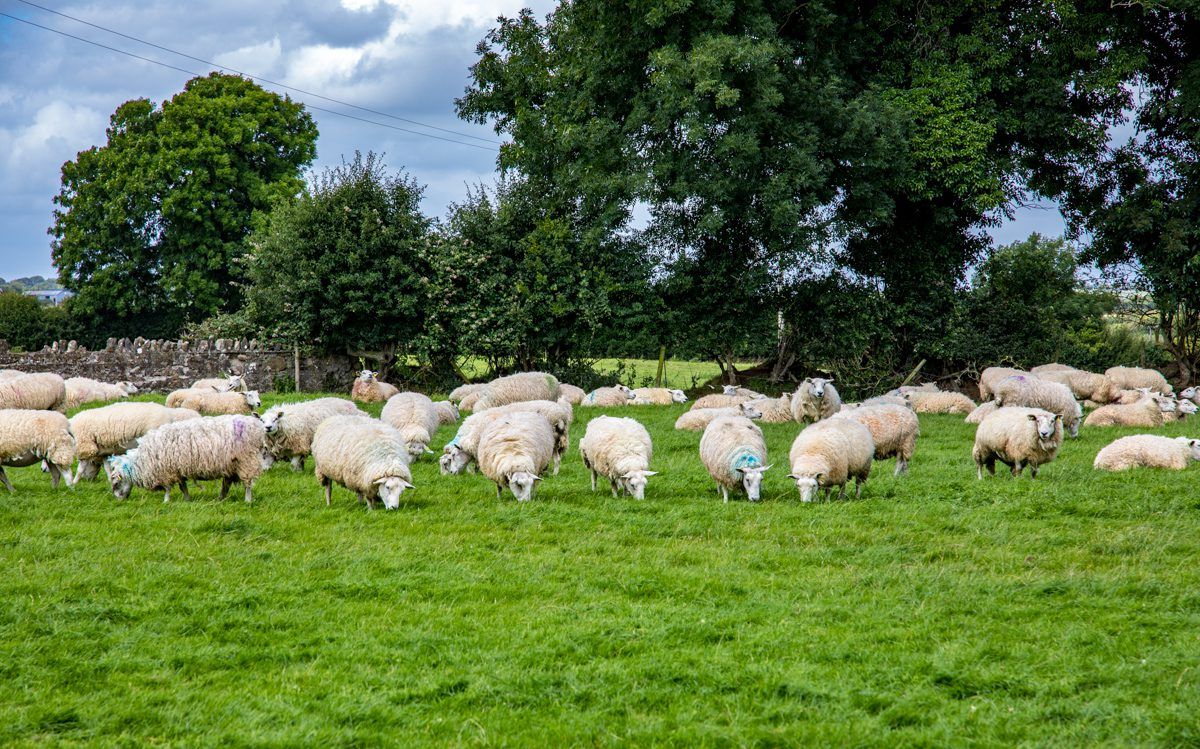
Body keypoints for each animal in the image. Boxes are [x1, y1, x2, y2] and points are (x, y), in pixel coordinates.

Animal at [70, 402, 201, 482]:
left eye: (93, 463)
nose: (88, 480)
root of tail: (169, 414)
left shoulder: (85, 446)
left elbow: (80, 468)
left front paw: (74, 482)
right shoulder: (104, 452)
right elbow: (107, 468)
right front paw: (111, 480)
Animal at [104, 415, 268, 503]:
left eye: (116, 483)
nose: (120, 500)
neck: (143, 461)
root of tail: (257, 426)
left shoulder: (166, 470)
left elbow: (168, 488)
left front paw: (166, 501)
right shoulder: (177, 469)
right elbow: (183, 486)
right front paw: (187, 500)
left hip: (246, 461)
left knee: (248, 483)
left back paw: (247, 500)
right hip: (232, 465)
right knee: (226, 484)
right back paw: (220, 499)